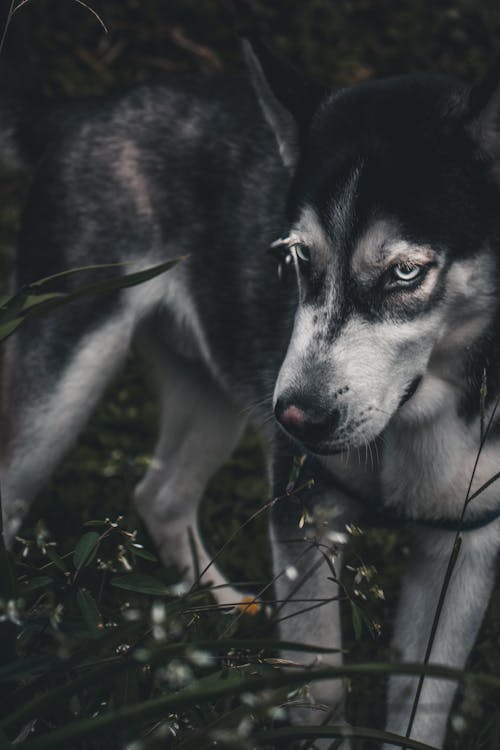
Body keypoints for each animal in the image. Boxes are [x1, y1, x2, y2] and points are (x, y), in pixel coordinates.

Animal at [0, 39, 500, 750]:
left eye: (406, 271)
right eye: (295, 257)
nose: (296, 417)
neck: (419, 413)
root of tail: (86, 109)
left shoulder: (462, 544)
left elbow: (421, 705)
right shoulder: (304, 515)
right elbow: (320, 691)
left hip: (214, 395)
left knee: (161, 495)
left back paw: (222, 612)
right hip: (61, 386)